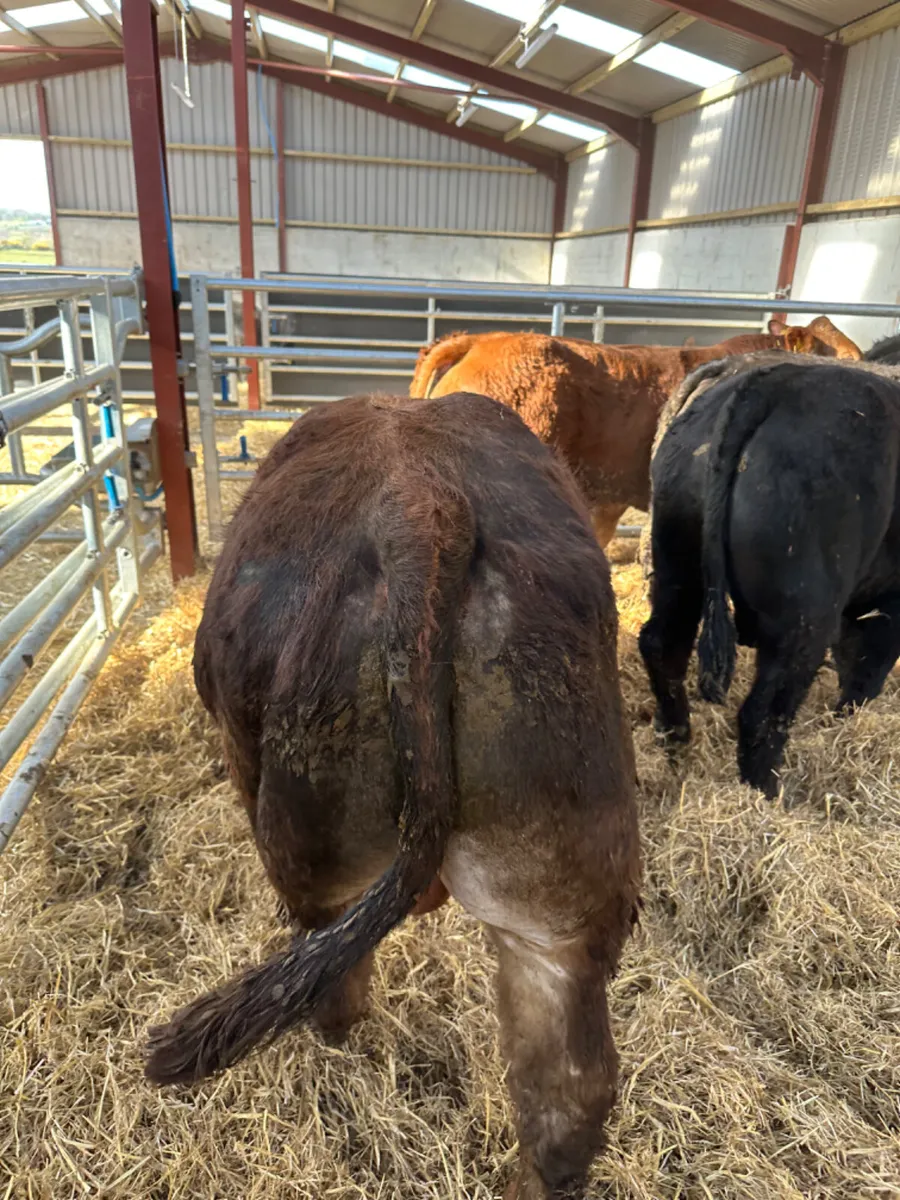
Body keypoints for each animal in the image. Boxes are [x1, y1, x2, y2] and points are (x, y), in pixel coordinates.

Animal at [638, 357, 900, 799]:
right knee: (764, 708)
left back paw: (676, 747)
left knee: (662, 646)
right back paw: (770, 793)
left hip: (678, 570)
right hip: (804, 615)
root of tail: (774, 382)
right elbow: (867, 668)